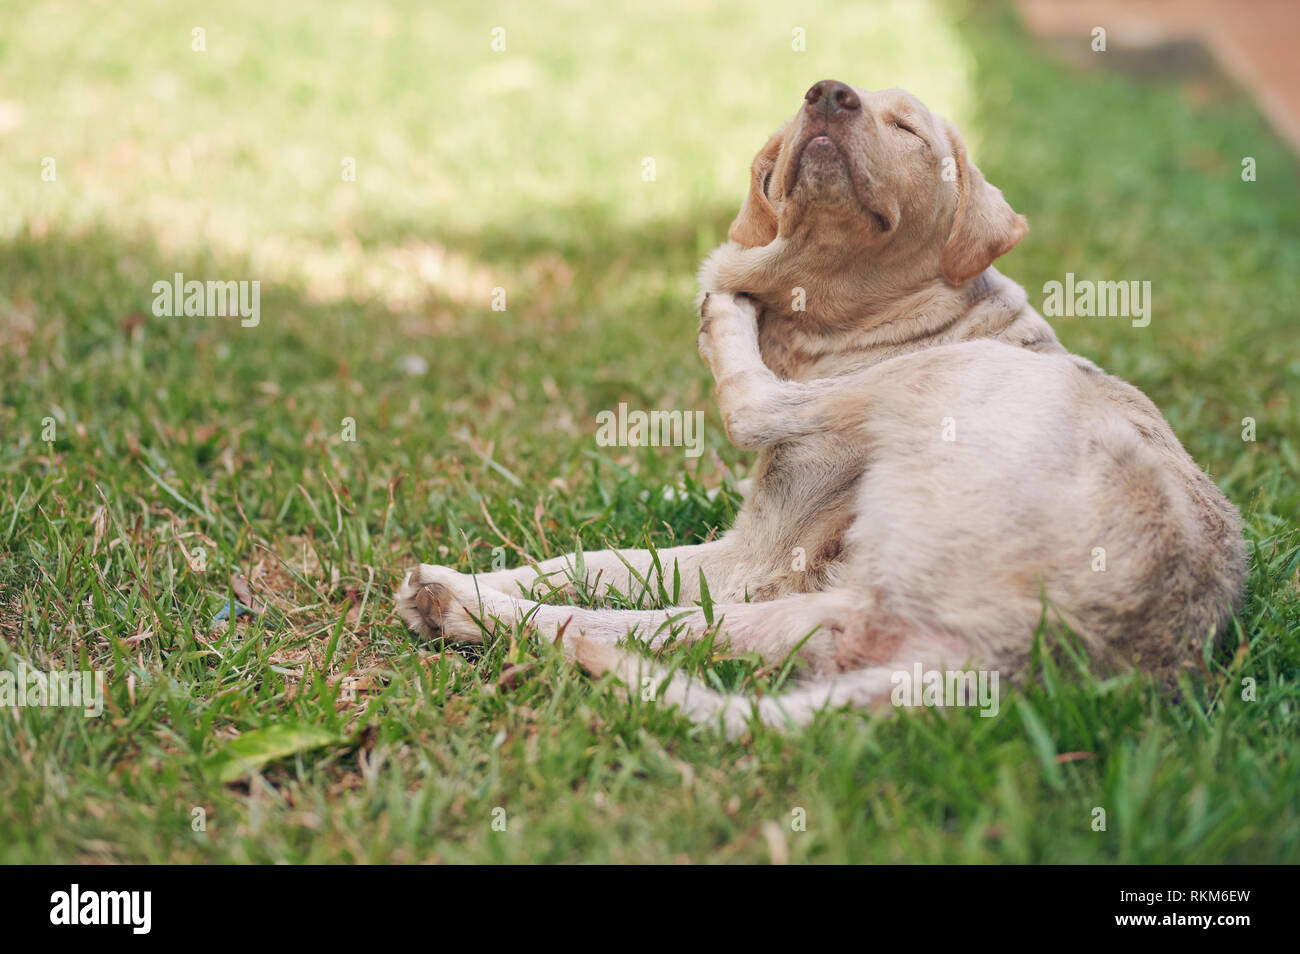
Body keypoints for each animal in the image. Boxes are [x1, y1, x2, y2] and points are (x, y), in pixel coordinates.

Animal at [397, 82, 1248, 738]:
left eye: (908, 129)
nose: (828, 94)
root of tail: (1007, 659)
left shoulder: (765, 546)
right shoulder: (756, 552)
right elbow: (593, 563)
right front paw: (501, 571)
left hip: (943, 385)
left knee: (747, 410)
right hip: (815, 614)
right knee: (638, 626)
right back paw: (456, 602)